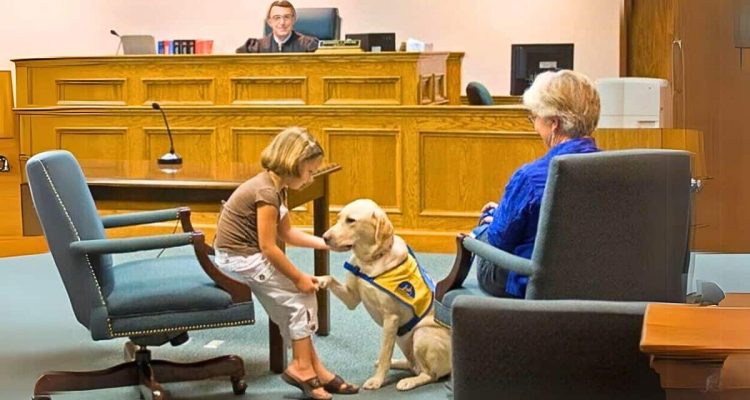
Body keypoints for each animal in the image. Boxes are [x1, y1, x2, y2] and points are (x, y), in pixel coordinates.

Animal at [318, 199, 452, 390]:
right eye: (338, 218)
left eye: (351, 220)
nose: (324, 237)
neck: (369, 262)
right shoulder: (351, 298)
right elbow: (330, 278)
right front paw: (319, 280)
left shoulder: (391, 318)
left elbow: (384, 354)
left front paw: (377, 380)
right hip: (403, 339)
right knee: (412, 364)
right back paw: (399, 363)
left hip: (421, 334)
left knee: (429, 374)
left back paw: (409, 381)